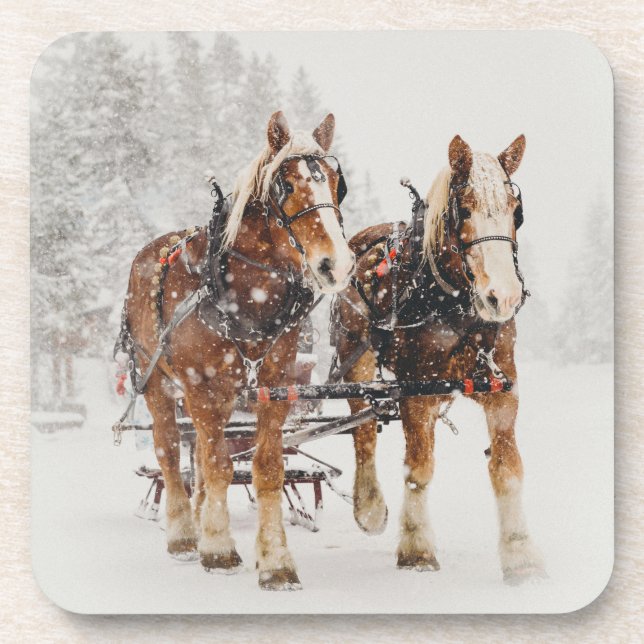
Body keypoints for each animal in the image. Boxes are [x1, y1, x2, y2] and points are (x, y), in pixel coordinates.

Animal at [118, 111, 355, 590]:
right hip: (158, 382)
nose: (336, 265)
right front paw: (218, 548)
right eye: (286, 185)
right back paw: (184, 535)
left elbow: (264, 467)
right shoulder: (202, 386)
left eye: (337, 184)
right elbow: (216, 465)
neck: (244, 293)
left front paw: (275, 561)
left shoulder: (274, 385)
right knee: (172, 452)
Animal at [333, 134, 545, 584]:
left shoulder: (503, 387)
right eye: (463, 209)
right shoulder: (417, 392)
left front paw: (521, 555)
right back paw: (369, 505)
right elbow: (419, 469)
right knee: (362, 428)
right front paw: (416, 548)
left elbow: (507, 468)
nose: (503, 297)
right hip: (354, 359)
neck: (455, 306)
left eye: (516, 211)